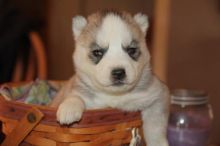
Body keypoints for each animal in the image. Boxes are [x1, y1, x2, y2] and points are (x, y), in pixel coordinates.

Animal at [50, 10, 169, 146]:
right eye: (97, 52)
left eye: (131, 50)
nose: (118, 72)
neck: (114, 96)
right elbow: (75, 96)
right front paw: (69, 107)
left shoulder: (157, 95)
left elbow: (155, 127)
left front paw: (158, 142)